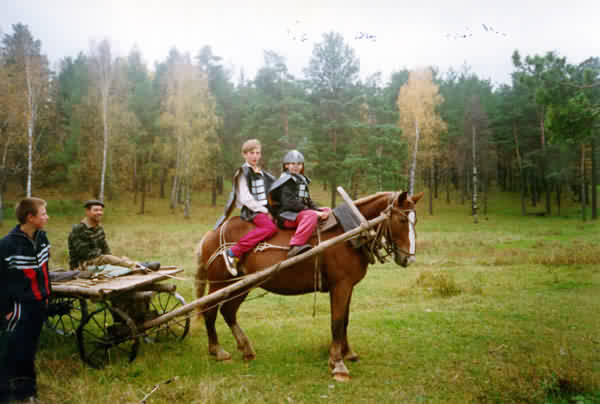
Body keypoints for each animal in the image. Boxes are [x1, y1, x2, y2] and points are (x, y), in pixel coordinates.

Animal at [194, 190, 423, 381]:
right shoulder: (340, 285)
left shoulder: (348, 286)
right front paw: (337, 364)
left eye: (415, 221)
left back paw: (245, 347)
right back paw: (217, 350)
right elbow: (337, 322)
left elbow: (345, 321)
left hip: (242, 284)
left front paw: (347, 353)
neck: (350, 232)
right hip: (219, 283)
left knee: (228, 311)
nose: (409, 258)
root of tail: (211, 234)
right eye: (402, 219)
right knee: (209, 310)